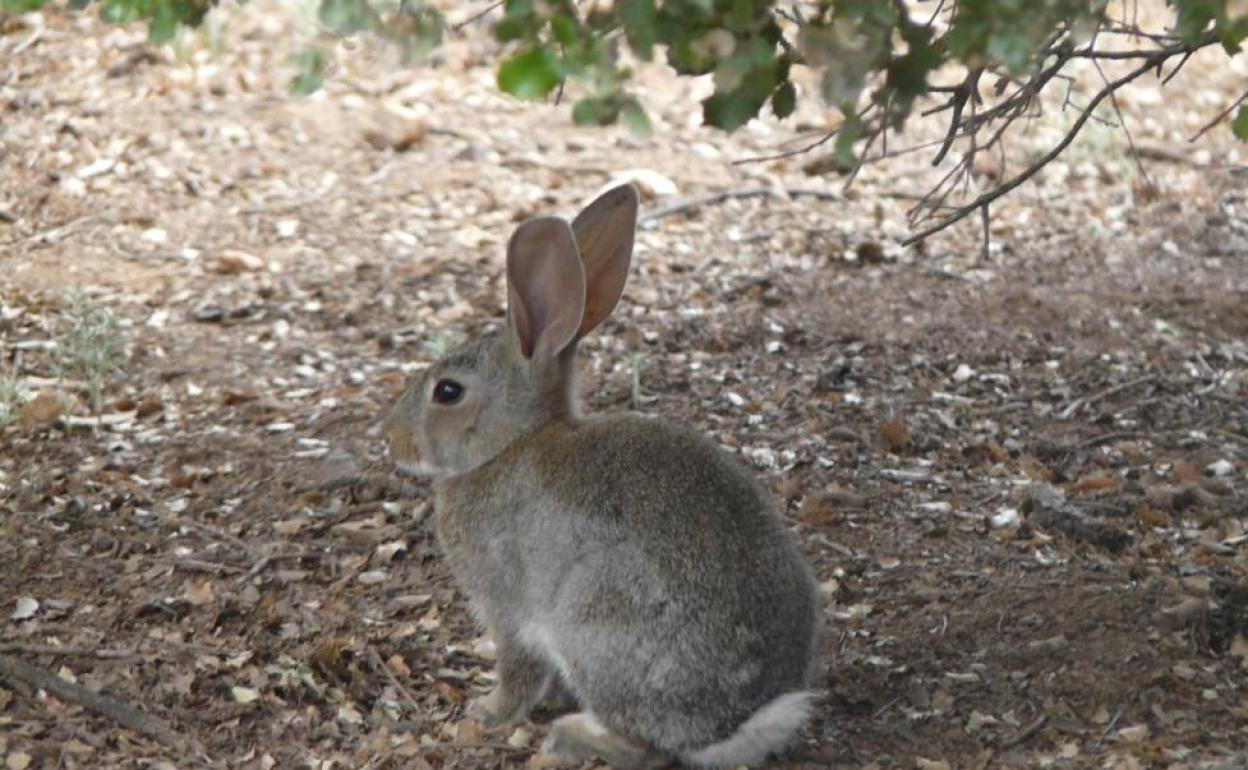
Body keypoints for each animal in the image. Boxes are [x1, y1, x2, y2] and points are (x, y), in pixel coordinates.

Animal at [384, 185, 823, 768]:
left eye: (448, 392)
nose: (389, 438)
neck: (509, 445)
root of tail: (737, 723)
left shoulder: (507, 607)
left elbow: (517, 668)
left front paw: (487, 712)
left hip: (593, 624)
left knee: (644, 746)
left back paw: (571, 736)